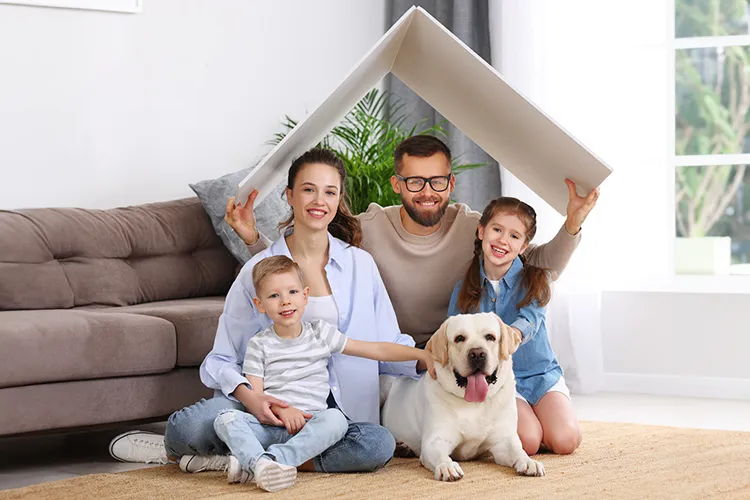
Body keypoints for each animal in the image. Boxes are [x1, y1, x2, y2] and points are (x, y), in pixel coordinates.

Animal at [382, 312, 548, 480]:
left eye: (490, 337)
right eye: (459, 338)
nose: (477, 354)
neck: (474, 403)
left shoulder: (503, 440)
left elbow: (517, 450)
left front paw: (529, 461)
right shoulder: (435, 440)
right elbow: (441, 455)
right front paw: (447, 466)